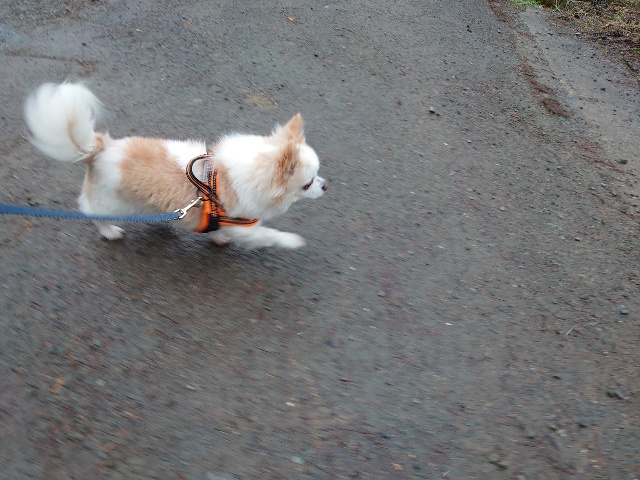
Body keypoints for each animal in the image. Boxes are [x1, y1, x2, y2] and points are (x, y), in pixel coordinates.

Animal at [24, 82, 328, 249]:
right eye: (307, 184)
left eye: (319, 176)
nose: (326, 185)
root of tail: (100, 149)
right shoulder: (246, 228)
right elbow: (271, 236)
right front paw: (293, 241)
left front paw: (218, 239)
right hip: (112, 204)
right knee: (91, 212)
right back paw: (110, 232)